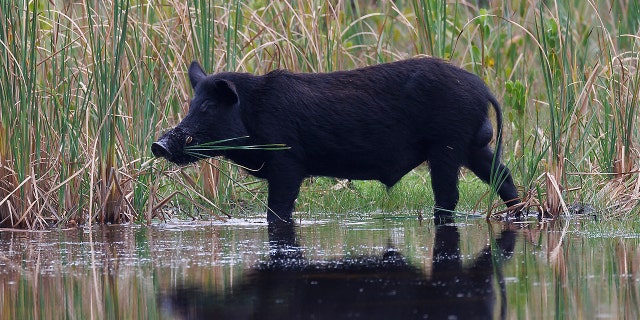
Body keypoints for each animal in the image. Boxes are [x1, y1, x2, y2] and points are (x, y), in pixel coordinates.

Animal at [154, 57, 520, 222]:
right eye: (191, 106)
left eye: (208, 108)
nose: (159, 144)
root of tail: (481, 88)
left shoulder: (288, 160)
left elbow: (278, 208)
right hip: (473, 146)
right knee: (502, 174)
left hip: (448, 144)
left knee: (448, 195)